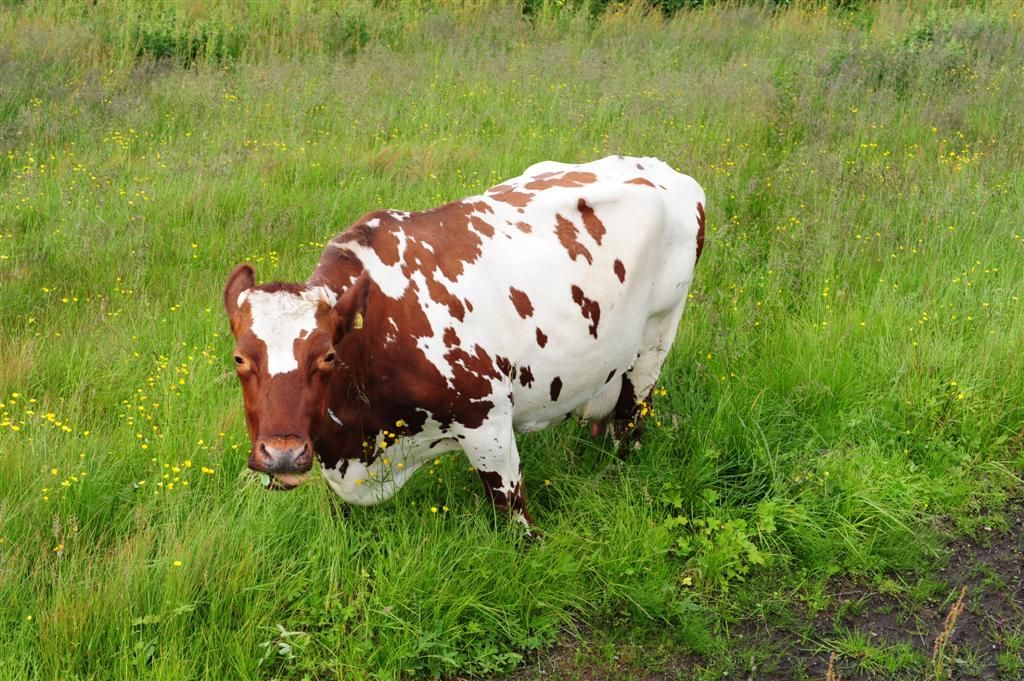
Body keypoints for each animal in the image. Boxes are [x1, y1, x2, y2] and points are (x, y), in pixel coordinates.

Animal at [223, 155, 706, 526]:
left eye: (326, 356)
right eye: (239, 359)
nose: (282, 454)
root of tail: (664, 170)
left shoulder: (488, 422)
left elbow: (515, 518)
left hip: (655, 338)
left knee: (631, 421)